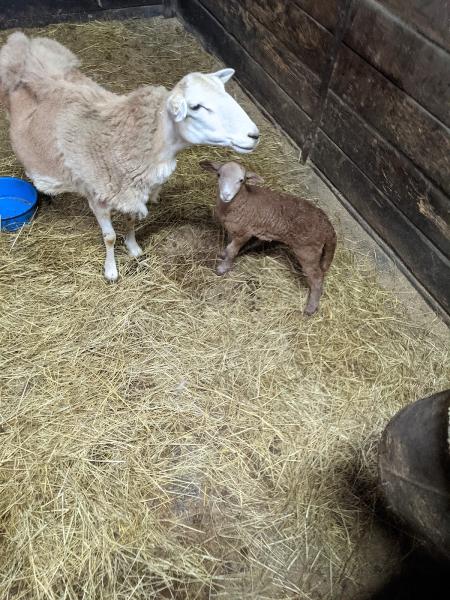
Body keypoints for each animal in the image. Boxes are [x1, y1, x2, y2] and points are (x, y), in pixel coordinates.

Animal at [0, 34, 260, 282]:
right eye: (196, 107)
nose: (254, 135)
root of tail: (25, 45)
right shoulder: (97, 195)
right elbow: (109, 237)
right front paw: (111, 270)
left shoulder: (135, 190)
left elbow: (132, 221)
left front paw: (133, 247)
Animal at [201, 159, 338, 318]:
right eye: (218, 175)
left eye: (241, 180)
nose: (226, 195)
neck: (242, 200)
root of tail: (328, 227)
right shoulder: (233, 229)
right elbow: (229, 245)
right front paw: (223, 254)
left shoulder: (244, 232)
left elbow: (232, 250)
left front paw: (223, 268)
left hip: (308, 250)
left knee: (317, 277)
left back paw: (311, 307)